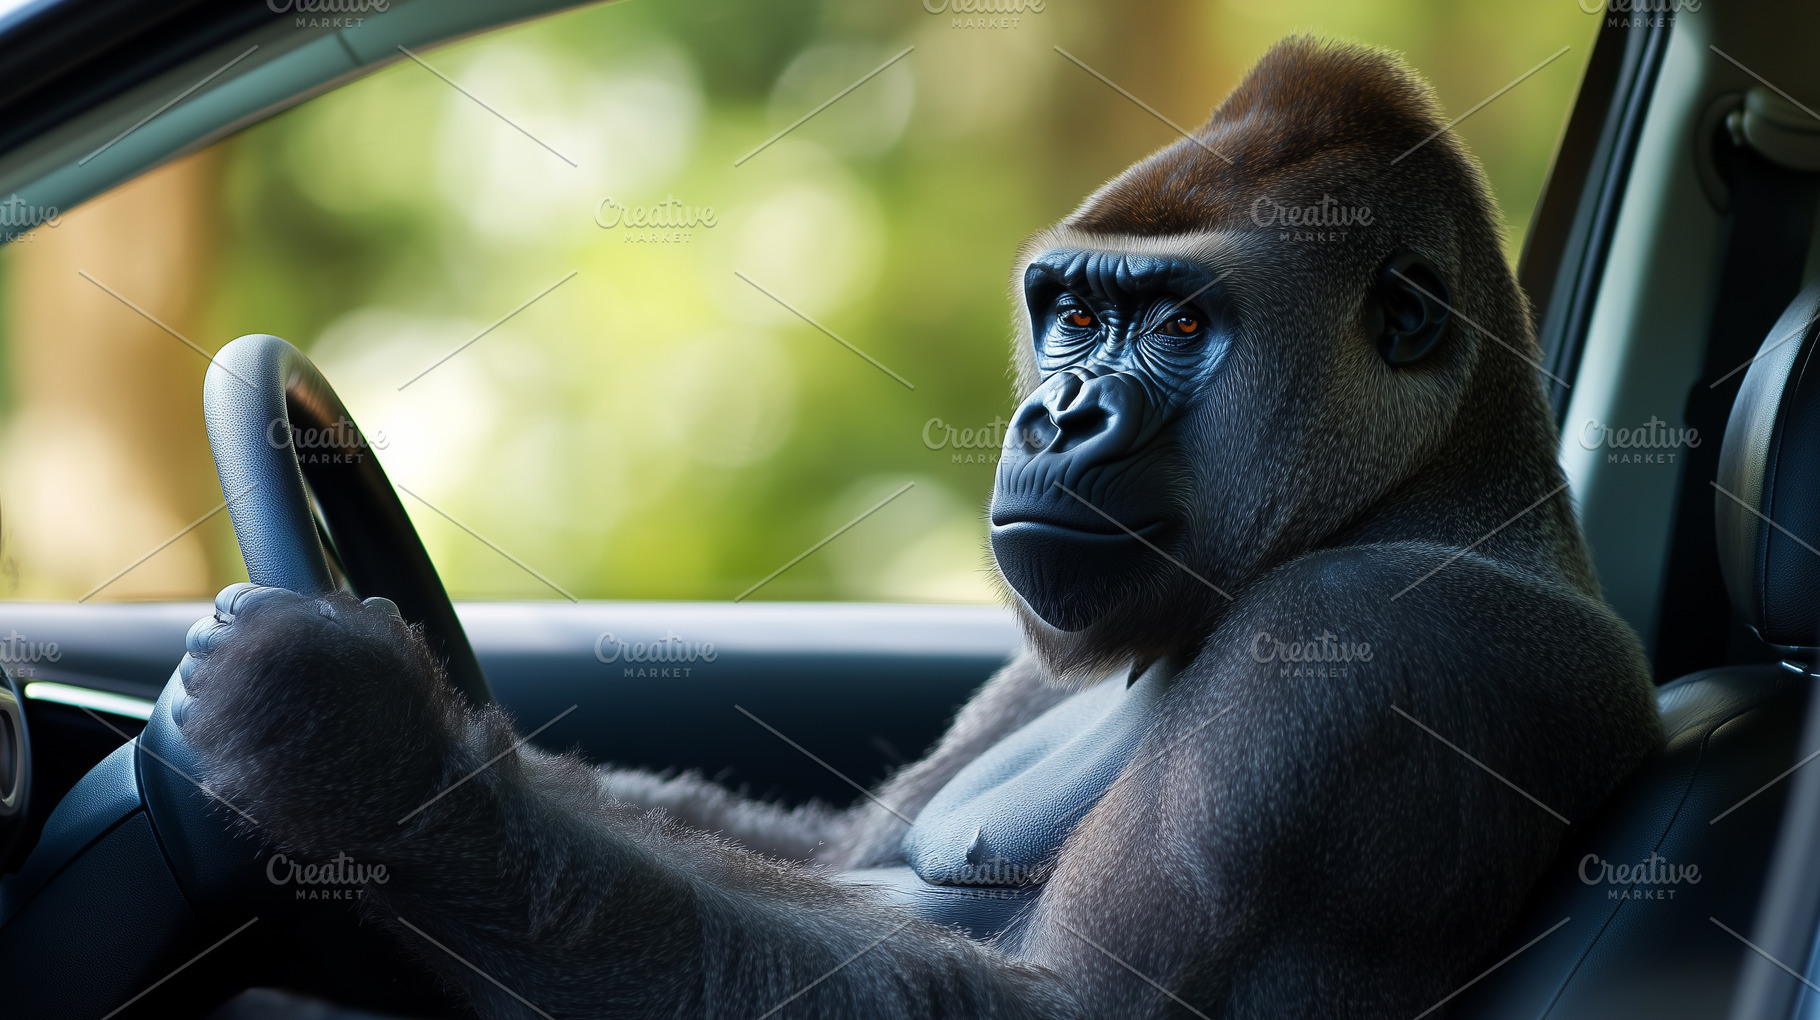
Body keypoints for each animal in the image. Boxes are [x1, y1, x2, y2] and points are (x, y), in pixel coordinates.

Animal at [177, 37, 1661, 1019]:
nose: (1055, 419)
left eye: (1181, 326)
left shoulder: (1377, 660)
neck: (1435, 484)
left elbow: (1082, 1010)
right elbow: (830, 856)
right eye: (1073, 312)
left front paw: (352, 743)